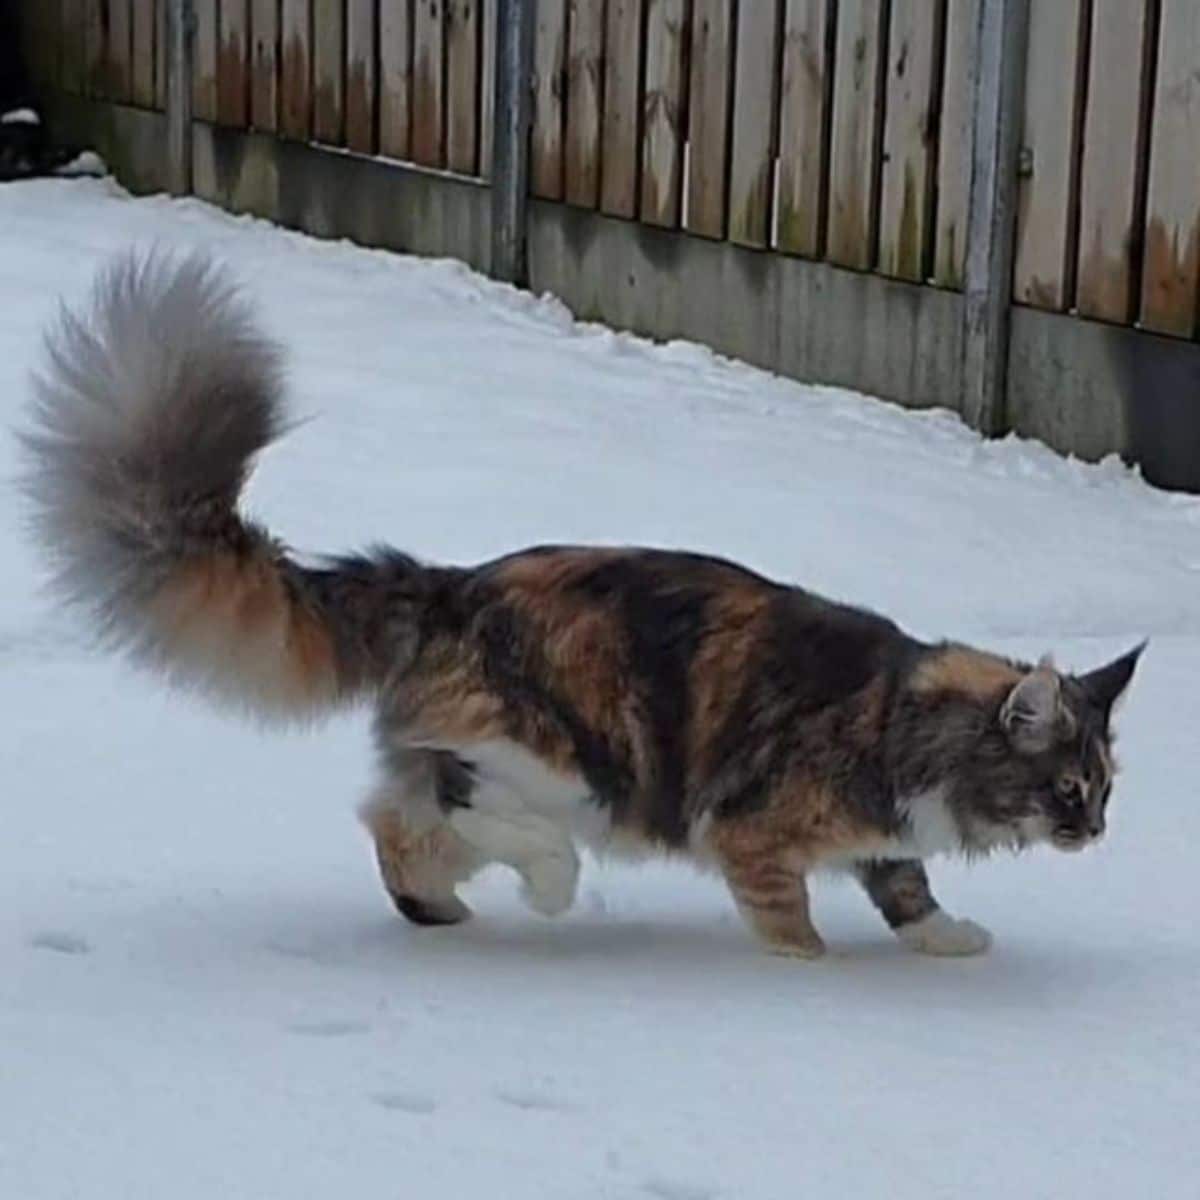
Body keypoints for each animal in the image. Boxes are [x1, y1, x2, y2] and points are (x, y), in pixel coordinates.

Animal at [25, 258, 1142, 960]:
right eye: (1069, 788)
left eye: (1104, 790)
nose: (1097, 835)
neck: (900, 714)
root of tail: (447, 582)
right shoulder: (754, 831)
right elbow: (792, 917)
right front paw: (809, 973)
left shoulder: (884, 839)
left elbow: (907, 887)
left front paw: (949, 939)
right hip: (574, 756)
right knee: (461, 800)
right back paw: (549, 887)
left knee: (398, 822)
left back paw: (446, 913)